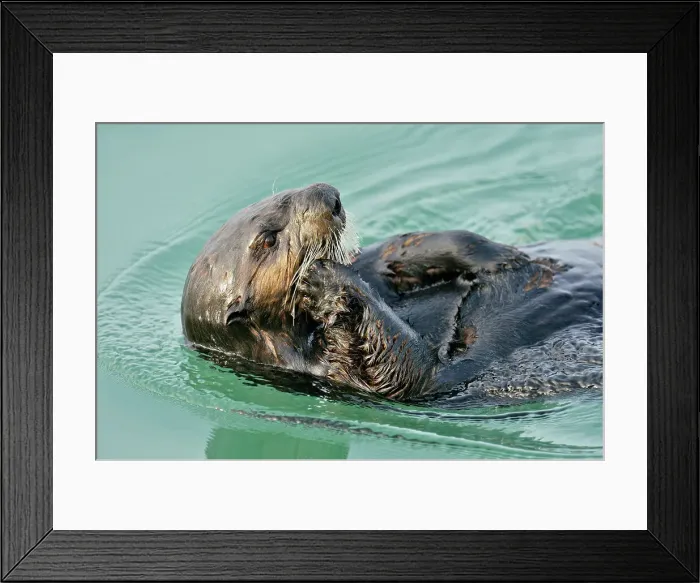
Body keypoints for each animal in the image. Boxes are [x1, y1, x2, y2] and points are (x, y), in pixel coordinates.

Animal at [181, 183, 602, 402]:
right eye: (268, 239)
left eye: (279, 197)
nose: (330, 196)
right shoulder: (342, 375)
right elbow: (407, 371)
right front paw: (321, 277)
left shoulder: (375, 268)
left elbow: (397, 251)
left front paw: (497, 255)